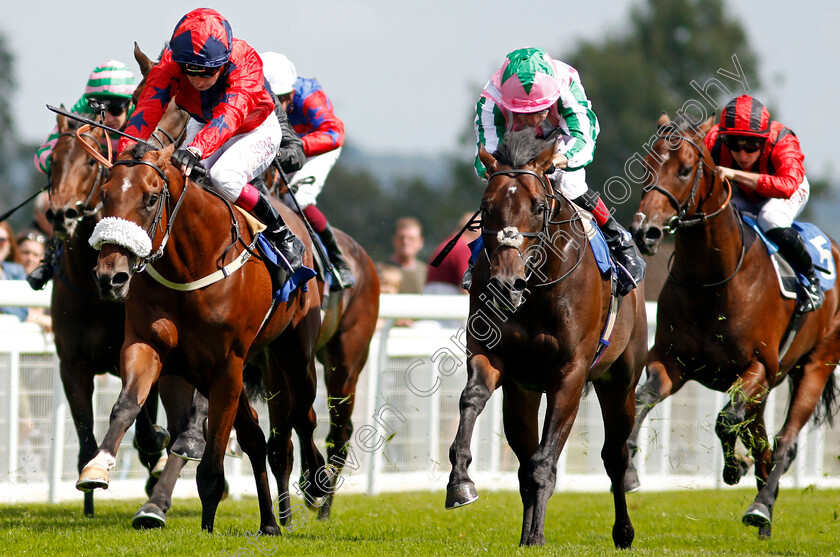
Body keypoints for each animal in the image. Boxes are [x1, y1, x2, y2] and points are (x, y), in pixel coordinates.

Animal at [77, 141, 328, 532]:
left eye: (151, 198)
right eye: (104, 195)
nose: (110, 277)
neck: (190, 264)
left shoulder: (228, 365)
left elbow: (213, 453)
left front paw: (207, 520)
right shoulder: (147, 344)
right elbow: (126, 405)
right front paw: (97, 467)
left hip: (293, 351)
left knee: (303, 415)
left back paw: (315, 486)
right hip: (211, 372)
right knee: (256, 438)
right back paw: (270, 522)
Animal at [450, 130, 648, 548]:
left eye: (539, 206)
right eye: (486, 207)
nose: (506, 285)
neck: (537, 287)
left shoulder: (570, 373)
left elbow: (545, 461)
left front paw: (539, 535)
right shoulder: (493, 357)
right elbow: (472, 399)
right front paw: (460, 481)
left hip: (620, 381)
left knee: (616, 455)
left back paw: (623, 531)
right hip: (522, 394)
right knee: (524, 459)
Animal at [632, 111, 840, 536]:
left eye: (684, 169)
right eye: (646, 166)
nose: (646, 231)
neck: (714, 278)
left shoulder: (757, 365)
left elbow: (726, 420)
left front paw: (733, 468)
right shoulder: (671, 361)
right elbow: (644, 398)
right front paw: (627, 463)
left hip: (816, 364)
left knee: (784, 441)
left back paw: (760, 507)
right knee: (762, 442)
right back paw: (763, 508)